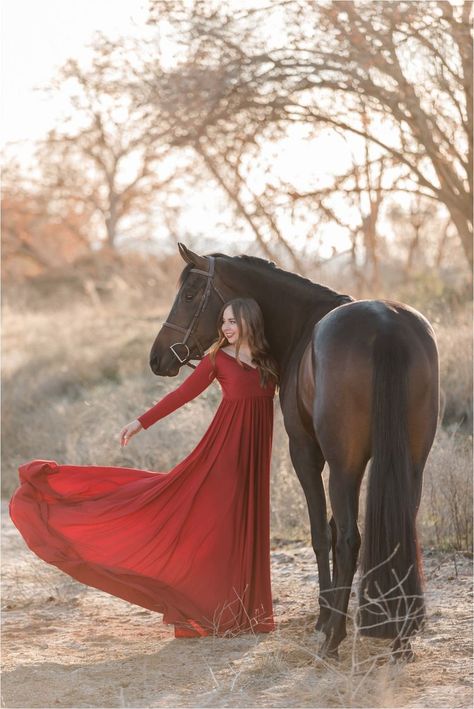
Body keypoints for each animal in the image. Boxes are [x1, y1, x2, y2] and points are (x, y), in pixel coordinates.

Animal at [146, 243, 438, 660]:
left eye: (188, 295)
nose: (157, 359)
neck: (304, 327)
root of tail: (385, 326)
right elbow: (331, 527)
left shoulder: (307, 453)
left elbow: (321, 533)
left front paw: (326, 617)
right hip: (411, 462)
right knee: (401, 529)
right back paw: (400, 639)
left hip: (344, 464)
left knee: (349, 539)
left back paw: (334, 638)